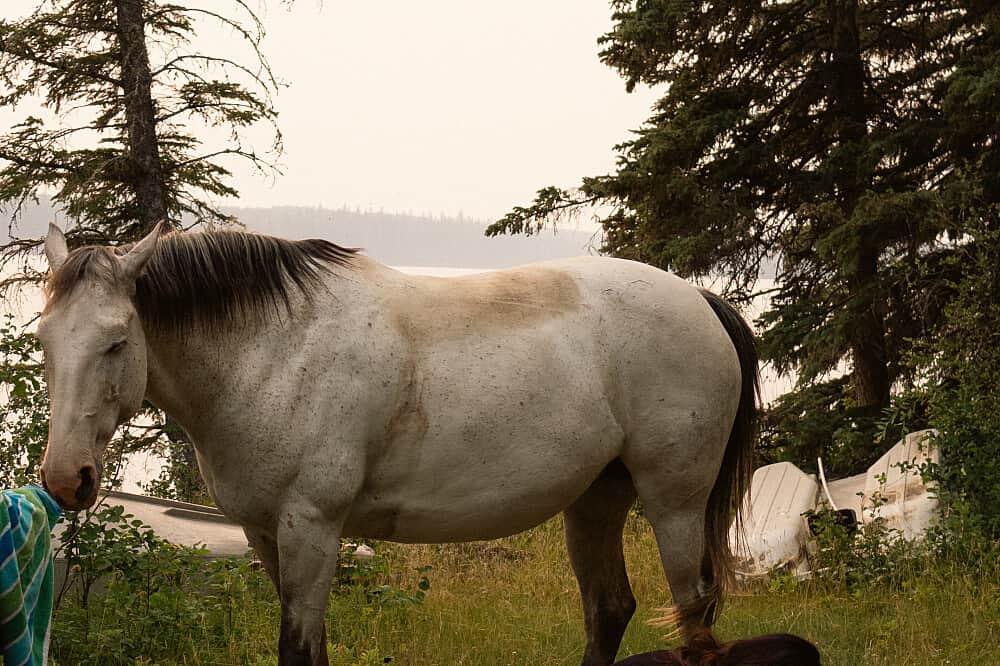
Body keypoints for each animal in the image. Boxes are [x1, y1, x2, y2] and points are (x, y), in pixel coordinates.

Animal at [36, 223, 758, 666]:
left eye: (116, 342)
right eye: (43, 338)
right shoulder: (266, 534)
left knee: (693, 614)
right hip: (595, 501)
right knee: (609, 609)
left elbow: (298, 650)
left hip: (673, 503)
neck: (275, 352)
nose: (67, 478)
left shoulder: (312, 527)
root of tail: (700, 299)